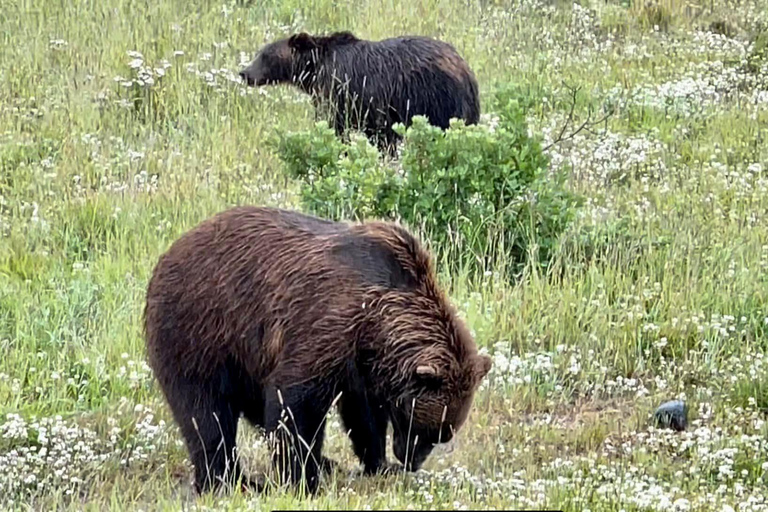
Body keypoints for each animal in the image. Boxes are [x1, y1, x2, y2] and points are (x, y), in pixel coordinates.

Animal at [143, 206, 492, 495]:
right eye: (421, 426)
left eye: (441, 434)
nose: (410, 461)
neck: (378, 323)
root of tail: (168, 253)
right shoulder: (326, 324)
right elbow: (295, 402)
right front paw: (303, 482)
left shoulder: (363, 364)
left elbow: (364, 414)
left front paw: (377, 463)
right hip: (201, 332)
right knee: (206, 414)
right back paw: (228, 481)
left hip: (244, 359)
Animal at [238, 32, 481, 155]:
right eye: (259, 53)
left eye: (265, 55)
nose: (244, 73)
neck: (314, 70)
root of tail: (465, 69)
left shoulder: (342, 91)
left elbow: (335, 126)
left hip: (435, 98)